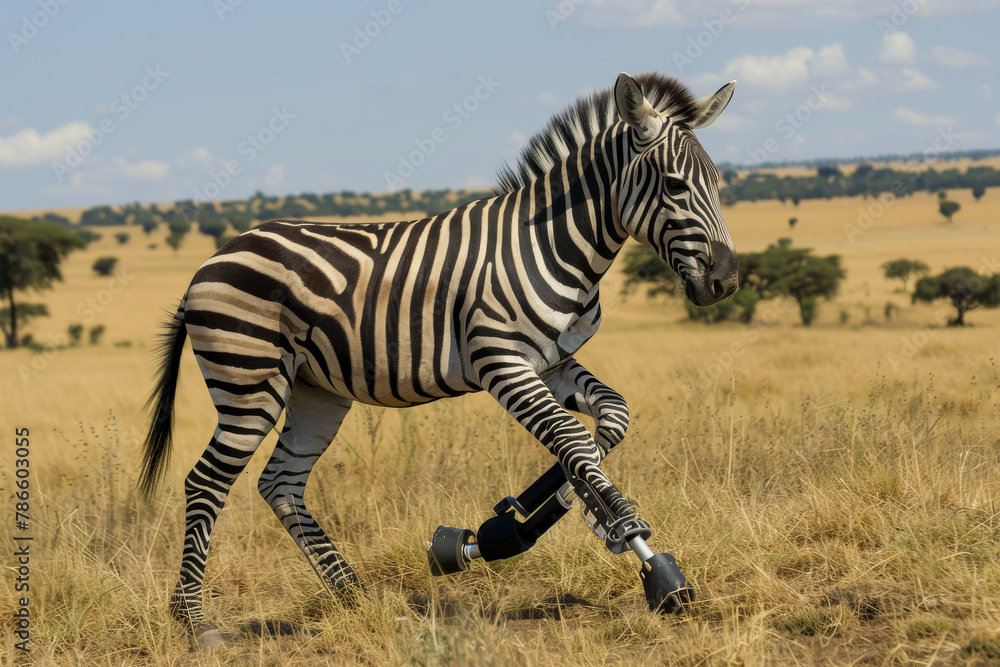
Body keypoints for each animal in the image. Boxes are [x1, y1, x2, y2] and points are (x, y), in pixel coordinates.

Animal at [139, 71, 738, 646]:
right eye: (676, 186)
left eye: (717, 185)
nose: (725, 282)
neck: (553, 245)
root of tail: (210, 261)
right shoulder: (501, 362)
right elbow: (574, 441)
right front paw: (644, 554)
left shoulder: (551, 363)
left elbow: (606, 424)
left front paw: (541, 516)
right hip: (250, 382)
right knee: (205, 483)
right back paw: (195, 622)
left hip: (316, 391)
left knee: (280, 483)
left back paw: (356, 599)